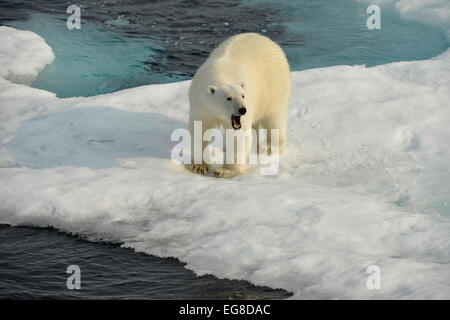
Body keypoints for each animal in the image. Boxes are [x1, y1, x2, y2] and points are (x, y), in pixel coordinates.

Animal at [187, 33, 290, 178]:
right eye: (228, 98)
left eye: (243, 95)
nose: (242, 110)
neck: (219, 74)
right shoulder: (201, 104)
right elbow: (200, 129)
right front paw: (199, 166)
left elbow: (238, 137)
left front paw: (225, 170)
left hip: (274, 86)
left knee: (274, 118)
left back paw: (270, 148)